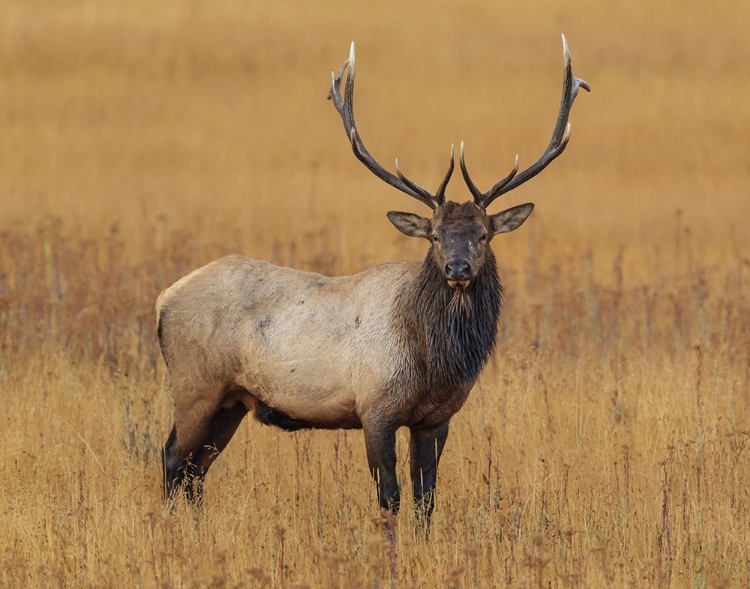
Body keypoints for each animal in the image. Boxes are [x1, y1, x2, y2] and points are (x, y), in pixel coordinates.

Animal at [160, 35, 592, 524]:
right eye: (436, 235)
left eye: (483, 234)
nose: (457, 269)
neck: (433, 362)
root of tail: (163, 300)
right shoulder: (375, 407)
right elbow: (391, 497)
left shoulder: (436, 418)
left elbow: (426, 499)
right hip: (195, 385)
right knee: (173, 458)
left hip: (230, 400)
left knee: (196, 470)